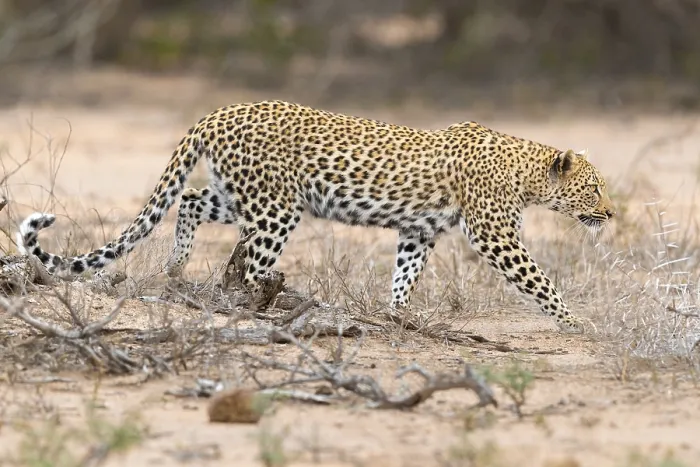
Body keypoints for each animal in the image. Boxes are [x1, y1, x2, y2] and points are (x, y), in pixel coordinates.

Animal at [16, 100, 615, 333]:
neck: (526, 171)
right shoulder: (496, 237)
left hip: (243, 196)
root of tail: (218, 111)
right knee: (253, 267)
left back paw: (177, 267)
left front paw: (398, 316)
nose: (609, 213)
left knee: (189, 202)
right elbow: (540, 282)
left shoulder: (418, 231)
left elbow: (405, 275)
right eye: (592, 187)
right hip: (276, 209)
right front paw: (578, 322)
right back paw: (269, 302)